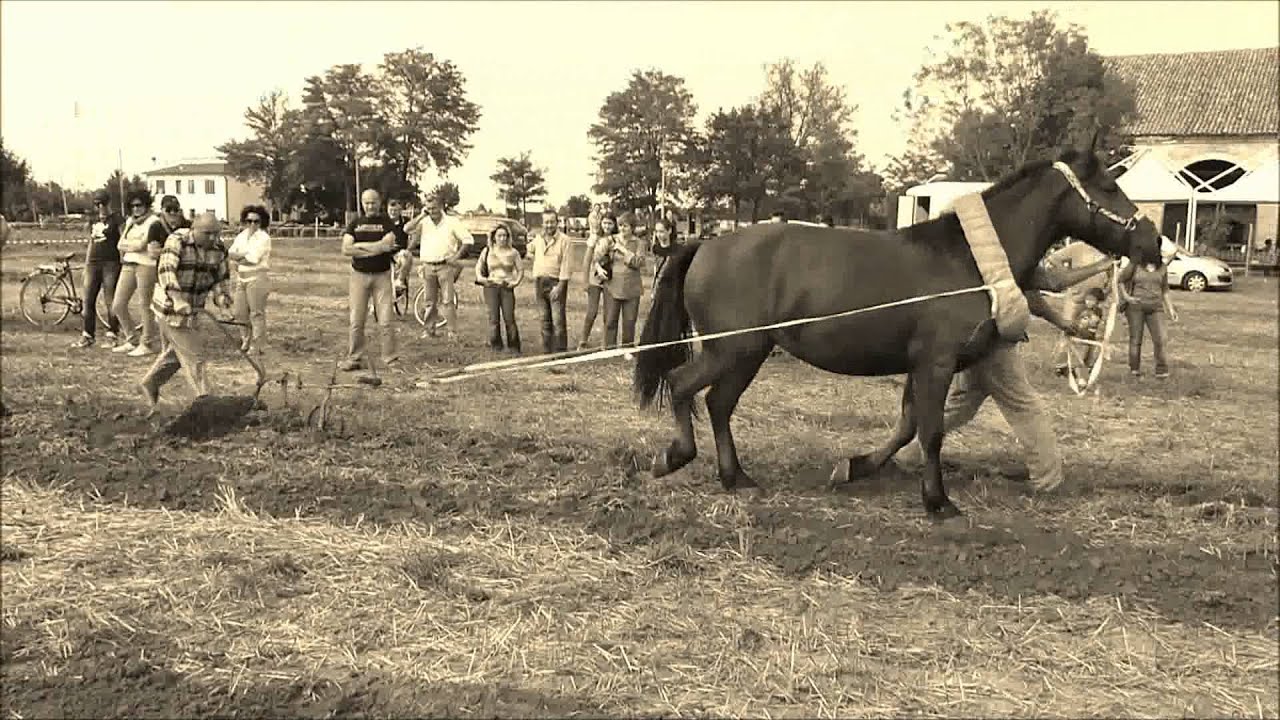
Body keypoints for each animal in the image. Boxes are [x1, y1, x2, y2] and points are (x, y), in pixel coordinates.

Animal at [632, 141, 1162, 520]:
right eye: (1109, 187)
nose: (1154, 242)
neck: (966, 259)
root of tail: (704, 244)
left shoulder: (921, 365)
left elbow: (908, 426)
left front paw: (854, 467)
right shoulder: (937, 362)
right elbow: (930, 431)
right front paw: (938, 502)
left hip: (748, 353)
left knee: (718, 403)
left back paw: (735, 476)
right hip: (733, 349)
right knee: (685, 386)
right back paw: (675, 457)